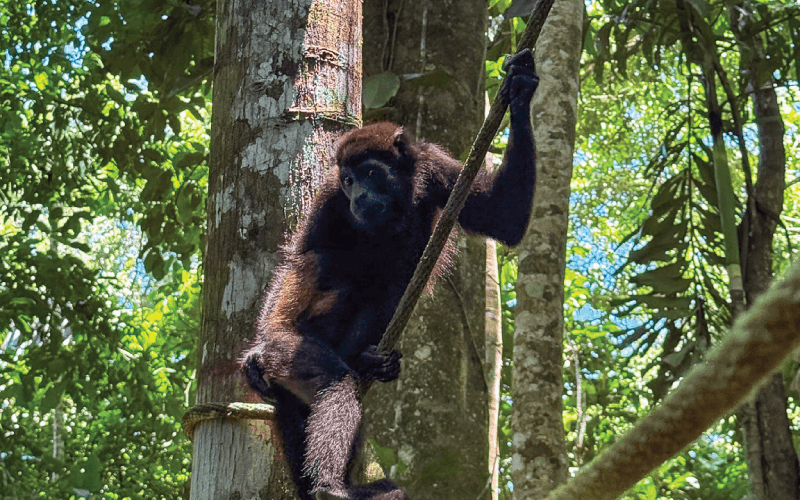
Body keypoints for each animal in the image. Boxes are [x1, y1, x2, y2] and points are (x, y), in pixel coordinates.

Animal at [241, 48, 538, 500]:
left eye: (371, 174)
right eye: (349, 180)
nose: (359, 196)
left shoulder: (434, 168)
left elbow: (501, 215)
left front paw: (521, 86)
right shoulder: (331, 198)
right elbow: (301, 256)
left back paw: (369, 367)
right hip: (289, 350)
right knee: (333, 372)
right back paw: (329, 485)